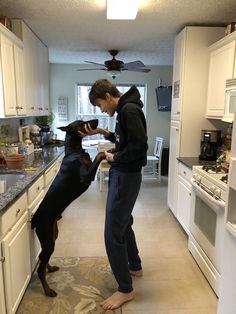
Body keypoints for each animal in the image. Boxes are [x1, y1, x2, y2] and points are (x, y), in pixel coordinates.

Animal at [31, 118, 105, 296]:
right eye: (81, 123)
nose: (97, 119)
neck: (75, 151)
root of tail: (35, 219)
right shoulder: (86, 177)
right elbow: (98, 155)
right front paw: (106, 152)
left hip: (52, 235)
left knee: (42, 258)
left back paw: (51, 267)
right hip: (47, 236)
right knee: (40, 268)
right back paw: (48, 290)